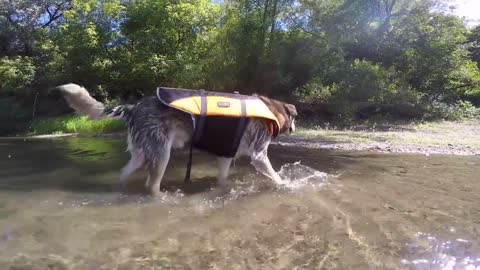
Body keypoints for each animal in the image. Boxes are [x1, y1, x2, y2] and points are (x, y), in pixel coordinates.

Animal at [56, 83, 296, 195]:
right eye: (294, 117)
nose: (294, 128)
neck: (271, 109)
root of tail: (134, 107)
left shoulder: (225, 156)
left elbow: (223, 179)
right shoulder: (258, 155)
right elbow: (276, 176)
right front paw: (287, 185)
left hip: (142, 154)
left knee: (123, 174)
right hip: (161, 154)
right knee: (151, 185)